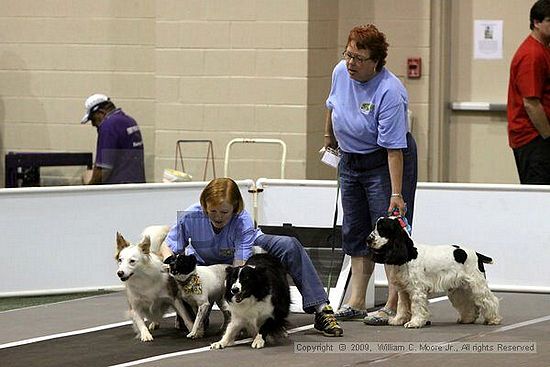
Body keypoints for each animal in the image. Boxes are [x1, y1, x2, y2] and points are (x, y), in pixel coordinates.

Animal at [366, 217, 504, 330]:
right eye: (374, 226)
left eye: (382, 228)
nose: (368, 240)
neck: (408, 254)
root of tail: (476, 253)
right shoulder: (403, 290)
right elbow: (402, 306)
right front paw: (398, 320)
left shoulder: (417, 290)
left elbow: (416, 307)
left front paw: (414, 323)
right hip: (460, 288)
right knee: (468, 304)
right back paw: (467, 319)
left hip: (477, 283)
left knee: (490, 300)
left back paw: (494, 319)